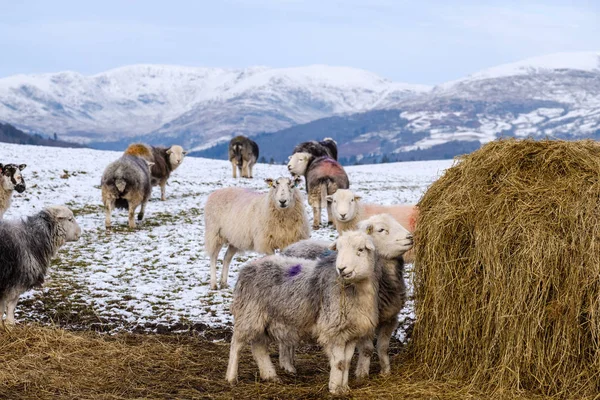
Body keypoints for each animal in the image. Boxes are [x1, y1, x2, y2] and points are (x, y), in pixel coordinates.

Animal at [227, 230, 382, 396]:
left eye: (360, 250)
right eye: (338, 250)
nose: (341, 269)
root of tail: (247, 266)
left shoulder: (351, 333)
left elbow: (346, 363)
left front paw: (344, 388)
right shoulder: (334, 330)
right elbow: (339, 363)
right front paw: (334, 388)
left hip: (263, 319)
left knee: (259, 347)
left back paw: (270, 375)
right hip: (248, 314)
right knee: (236, 344)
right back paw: (231, 377)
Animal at [280, 212, 412, 378]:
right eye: (381, 229)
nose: (410, 237)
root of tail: (291, 246)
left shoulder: (390, 318)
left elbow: (383, 347)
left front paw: (386, 371)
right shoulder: (364, 320)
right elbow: (367, 349)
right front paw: (362, 373)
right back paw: (287, 366)